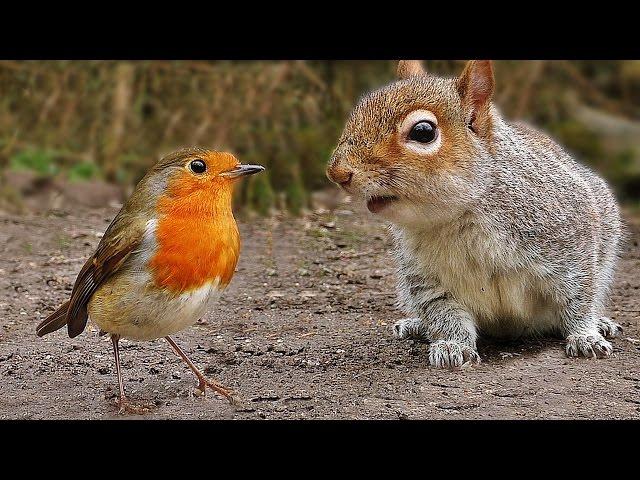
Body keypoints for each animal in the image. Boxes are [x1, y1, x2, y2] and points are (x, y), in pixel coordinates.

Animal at [328, 60, 624, 368]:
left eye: (423, 132)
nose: (337, 172)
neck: (457, 217)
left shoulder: (567, 240)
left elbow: (579, 297)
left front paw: (585, 335)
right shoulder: (426, 277)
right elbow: (443, 313)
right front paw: (452, 346)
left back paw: (601, 323)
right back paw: (416, 325)